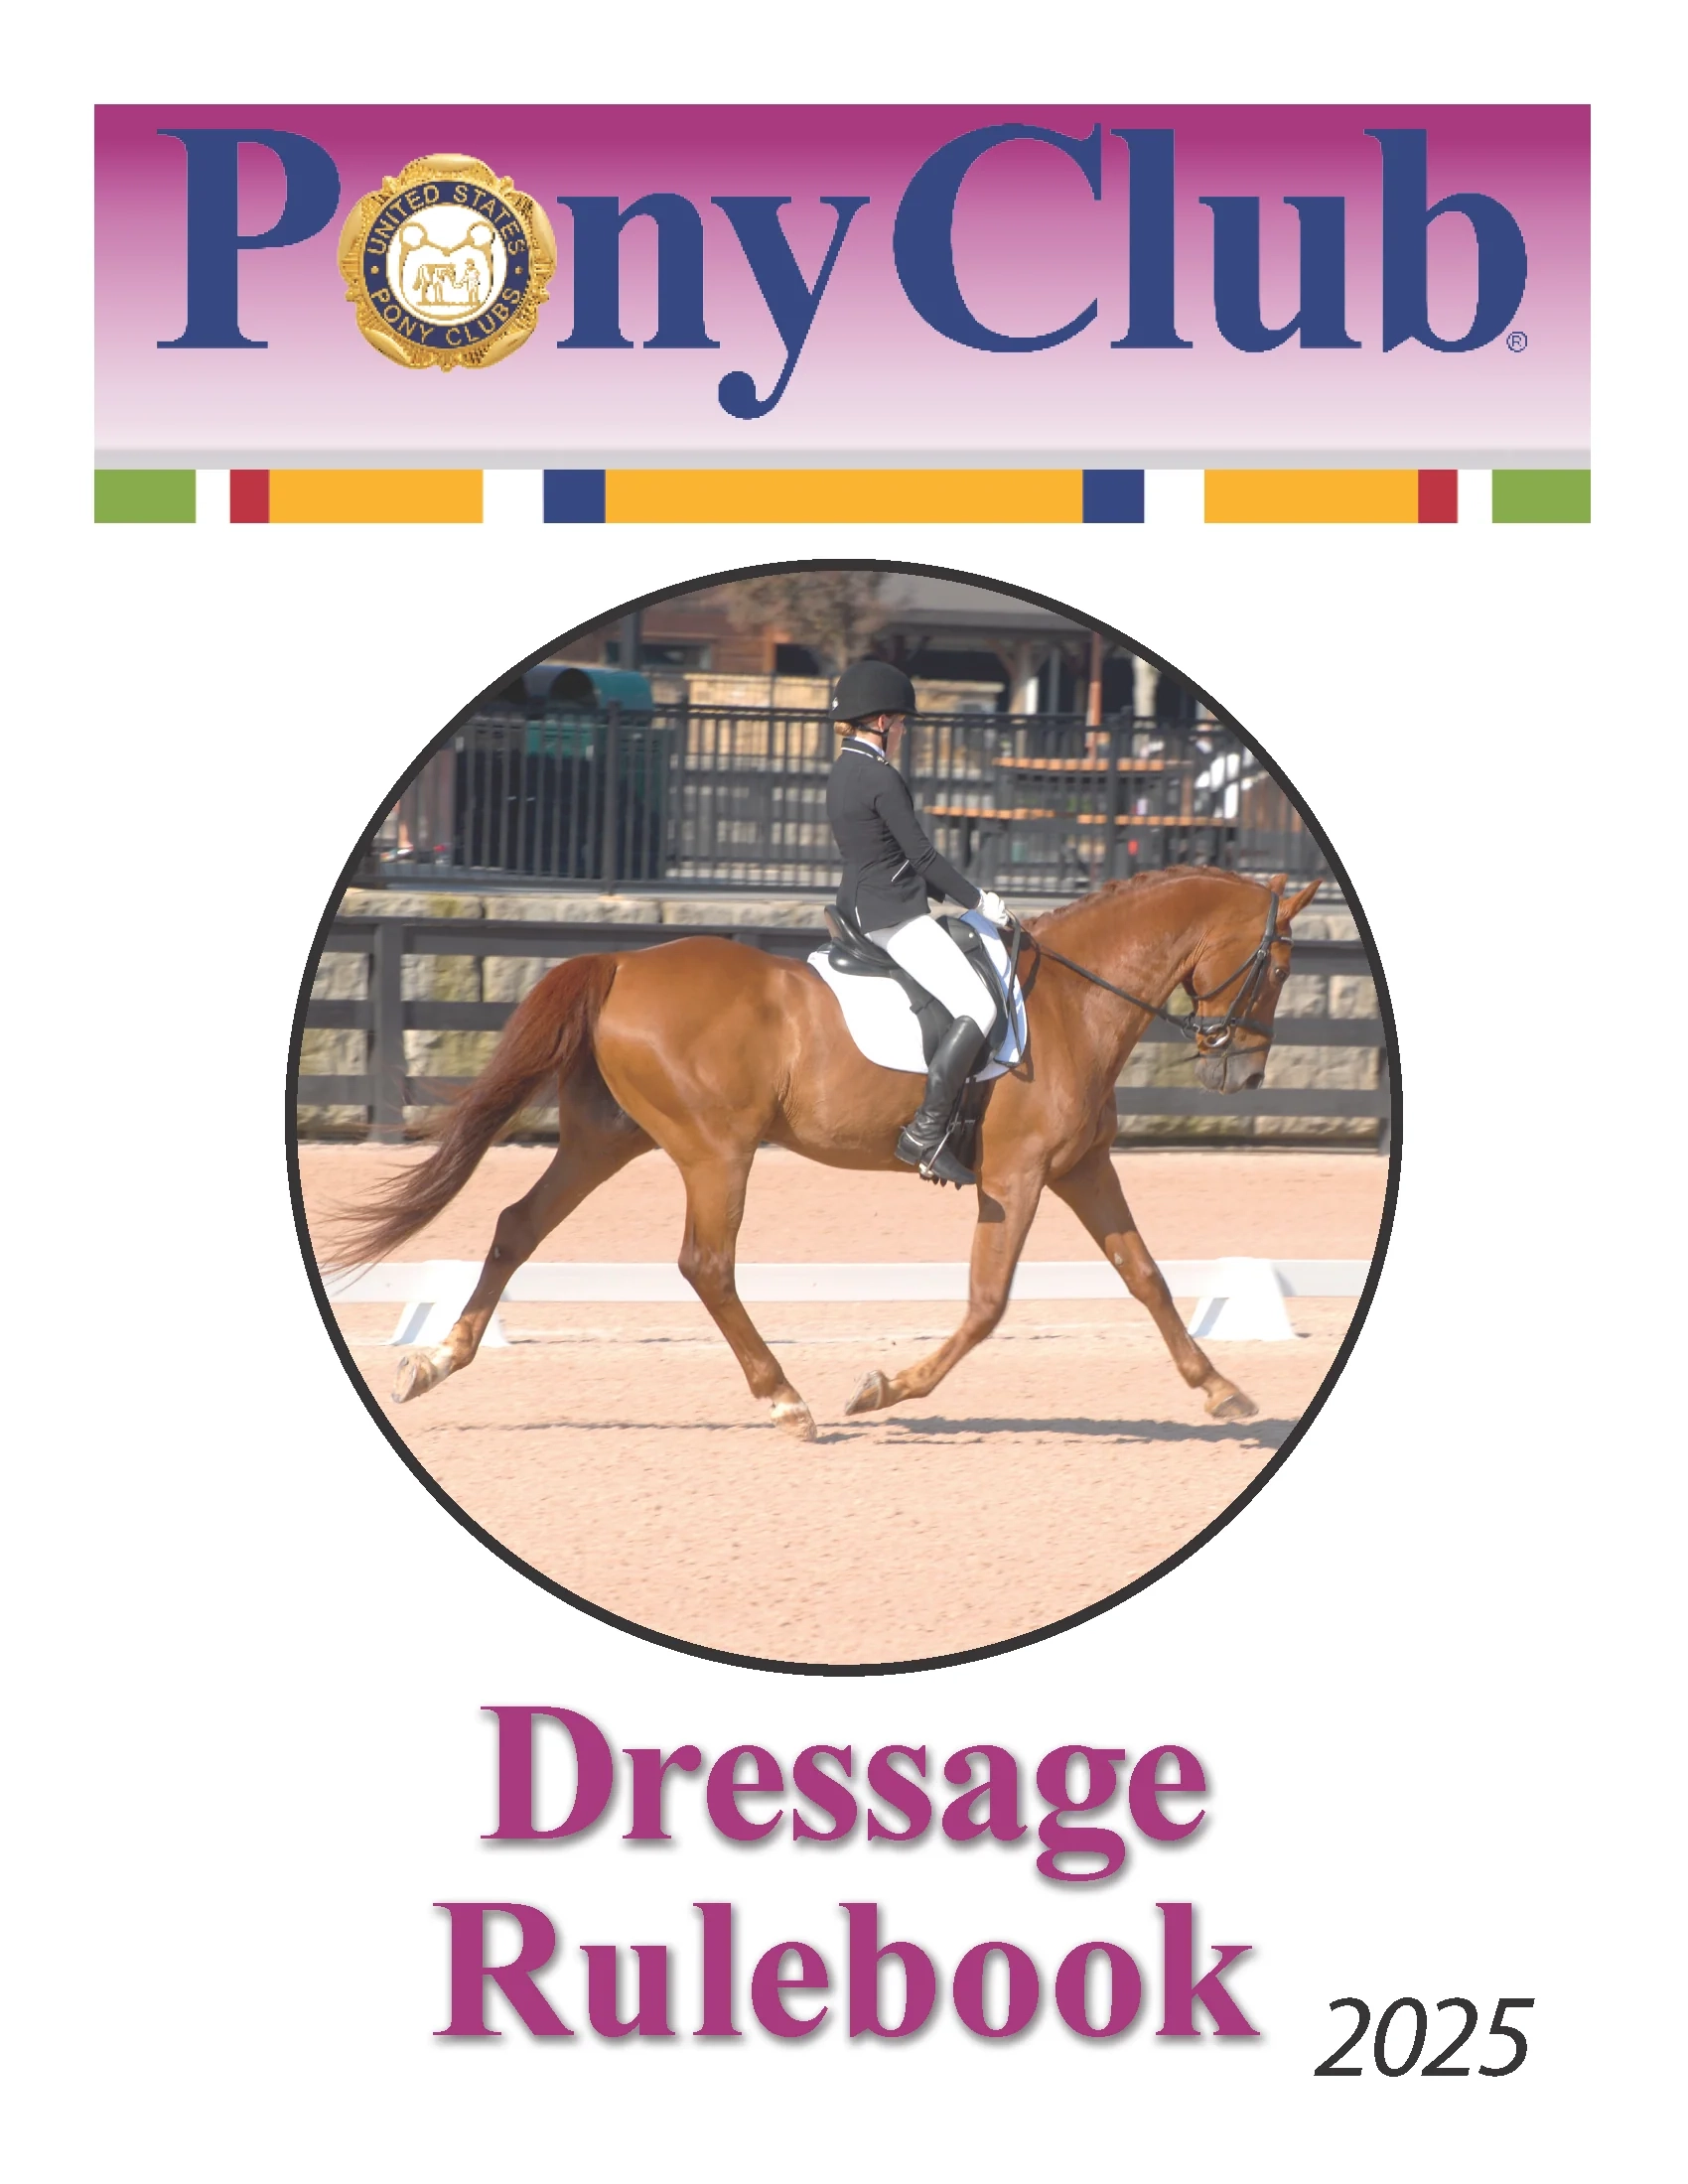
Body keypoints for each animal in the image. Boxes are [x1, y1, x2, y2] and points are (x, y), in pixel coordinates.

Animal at [325, 867, 1322, 1439]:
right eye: (1279, 963)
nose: (1244, 1072)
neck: (1076, 1004)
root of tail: (622, 963)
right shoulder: (1019, 1174)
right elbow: (988, 1304)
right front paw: (882, 1389)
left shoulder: (1081, 1167)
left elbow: (1146, 1276)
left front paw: (1222, 1390)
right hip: (715, 1151)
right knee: (706, 1264)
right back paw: (787, 1401)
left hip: (608, 1139)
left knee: (516, 1226)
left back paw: (434, 1362)